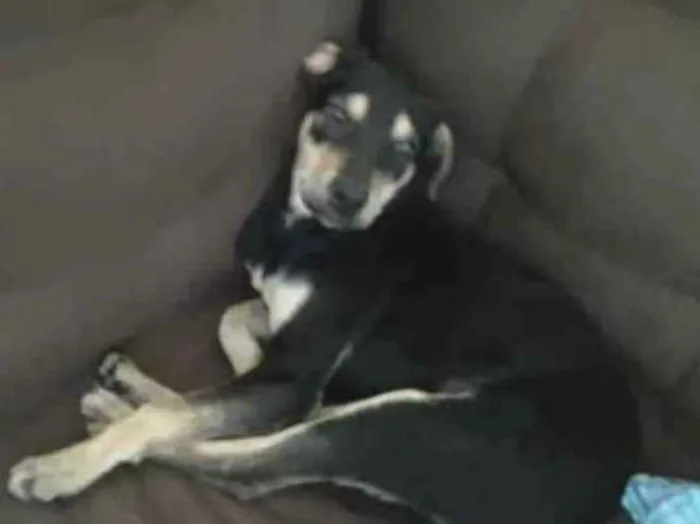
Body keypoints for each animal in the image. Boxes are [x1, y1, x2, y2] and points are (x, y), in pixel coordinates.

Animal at [7, 41, 640, 524]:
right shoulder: (291, 346)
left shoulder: (300, 367)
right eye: (337, 116)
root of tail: (607, 496)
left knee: (246, 469)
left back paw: (100, 426)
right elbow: (232, 325)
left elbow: (192, 410)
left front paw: (64, 466)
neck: (310, 234)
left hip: (414, 425)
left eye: (404, 150)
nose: (348, 198)